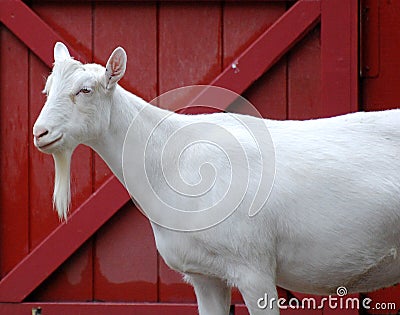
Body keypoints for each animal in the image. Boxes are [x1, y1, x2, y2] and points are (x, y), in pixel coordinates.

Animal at [34, 42, 400, 315]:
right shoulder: (203, 275)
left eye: (85, 90)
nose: (40, 133)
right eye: (47, 90)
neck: (172, 162)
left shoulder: (253, 269)